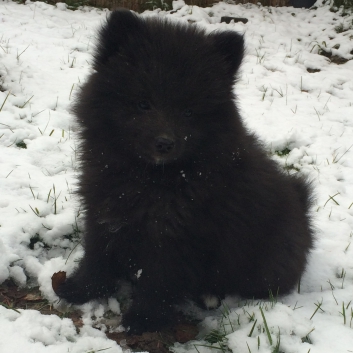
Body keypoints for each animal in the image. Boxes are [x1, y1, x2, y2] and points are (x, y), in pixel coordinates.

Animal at [56, 9, 312, 334]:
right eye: (143, 103)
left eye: (189, 111)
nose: (165, 143)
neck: (147, 177)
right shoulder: (104, 210)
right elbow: (97, 256)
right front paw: (79, 290)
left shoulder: (178, 234)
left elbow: (159, 279)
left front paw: (144, 319)